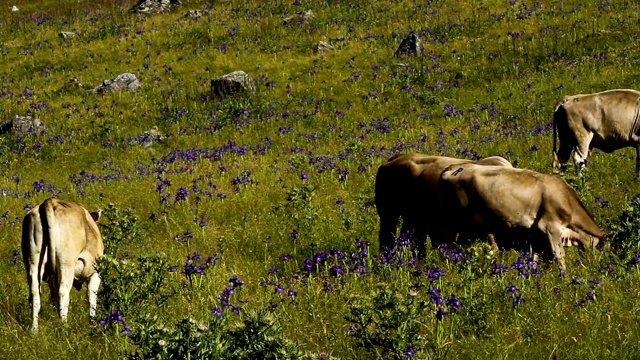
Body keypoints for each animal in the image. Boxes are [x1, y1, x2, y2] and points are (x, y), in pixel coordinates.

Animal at [21, 198, 104, 334]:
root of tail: (51, 201)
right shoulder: (96, 273)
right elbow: (92, 298)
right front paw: (93, 324)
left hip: (33, 259)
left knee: (35, 293)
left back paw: (34, 329)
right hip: (66, 262)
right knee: (63, 292)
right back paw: (64, 327)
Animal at [440, 163, 604, 270]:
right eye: (598, 247)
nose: (596, 266)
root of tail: (452, 168)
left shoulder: (538, 232)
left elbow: (537, 256)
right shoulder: (550, 227)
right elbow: (559, 256)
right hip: (458, 220)